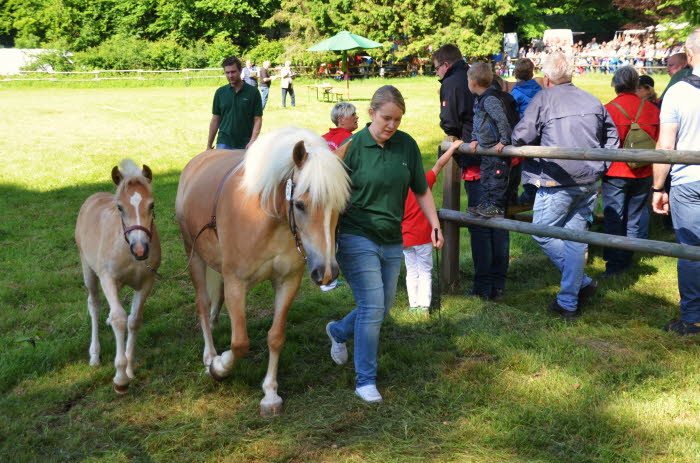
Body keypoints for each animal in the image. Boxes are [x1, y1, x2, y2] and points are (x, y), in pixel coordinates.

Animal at [75, 160, 161, 396]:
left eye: (152, 205)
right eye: (120, 207)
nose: (140, 249)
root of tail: (92, 197)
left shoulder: (146, 283)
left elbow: (134, 320)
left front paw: (130, 368)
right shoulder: (108, 279)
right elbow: (120, 319)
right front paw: (120, 378)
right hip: (88, 270)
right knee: (94, 304)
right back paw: (94, 355)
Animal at [175, 127, 350, 416]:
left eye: (340, 206)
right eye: (300, 205)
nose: (327, 272)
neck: (268, 217)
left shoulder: (288, 282)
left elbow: (276, 337)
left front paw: (270, 394)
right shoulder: (236, 283)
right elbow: (240, 342)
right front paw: (219, 368)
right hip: (195, 256)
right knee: (202, 303)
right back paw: (209, 356)